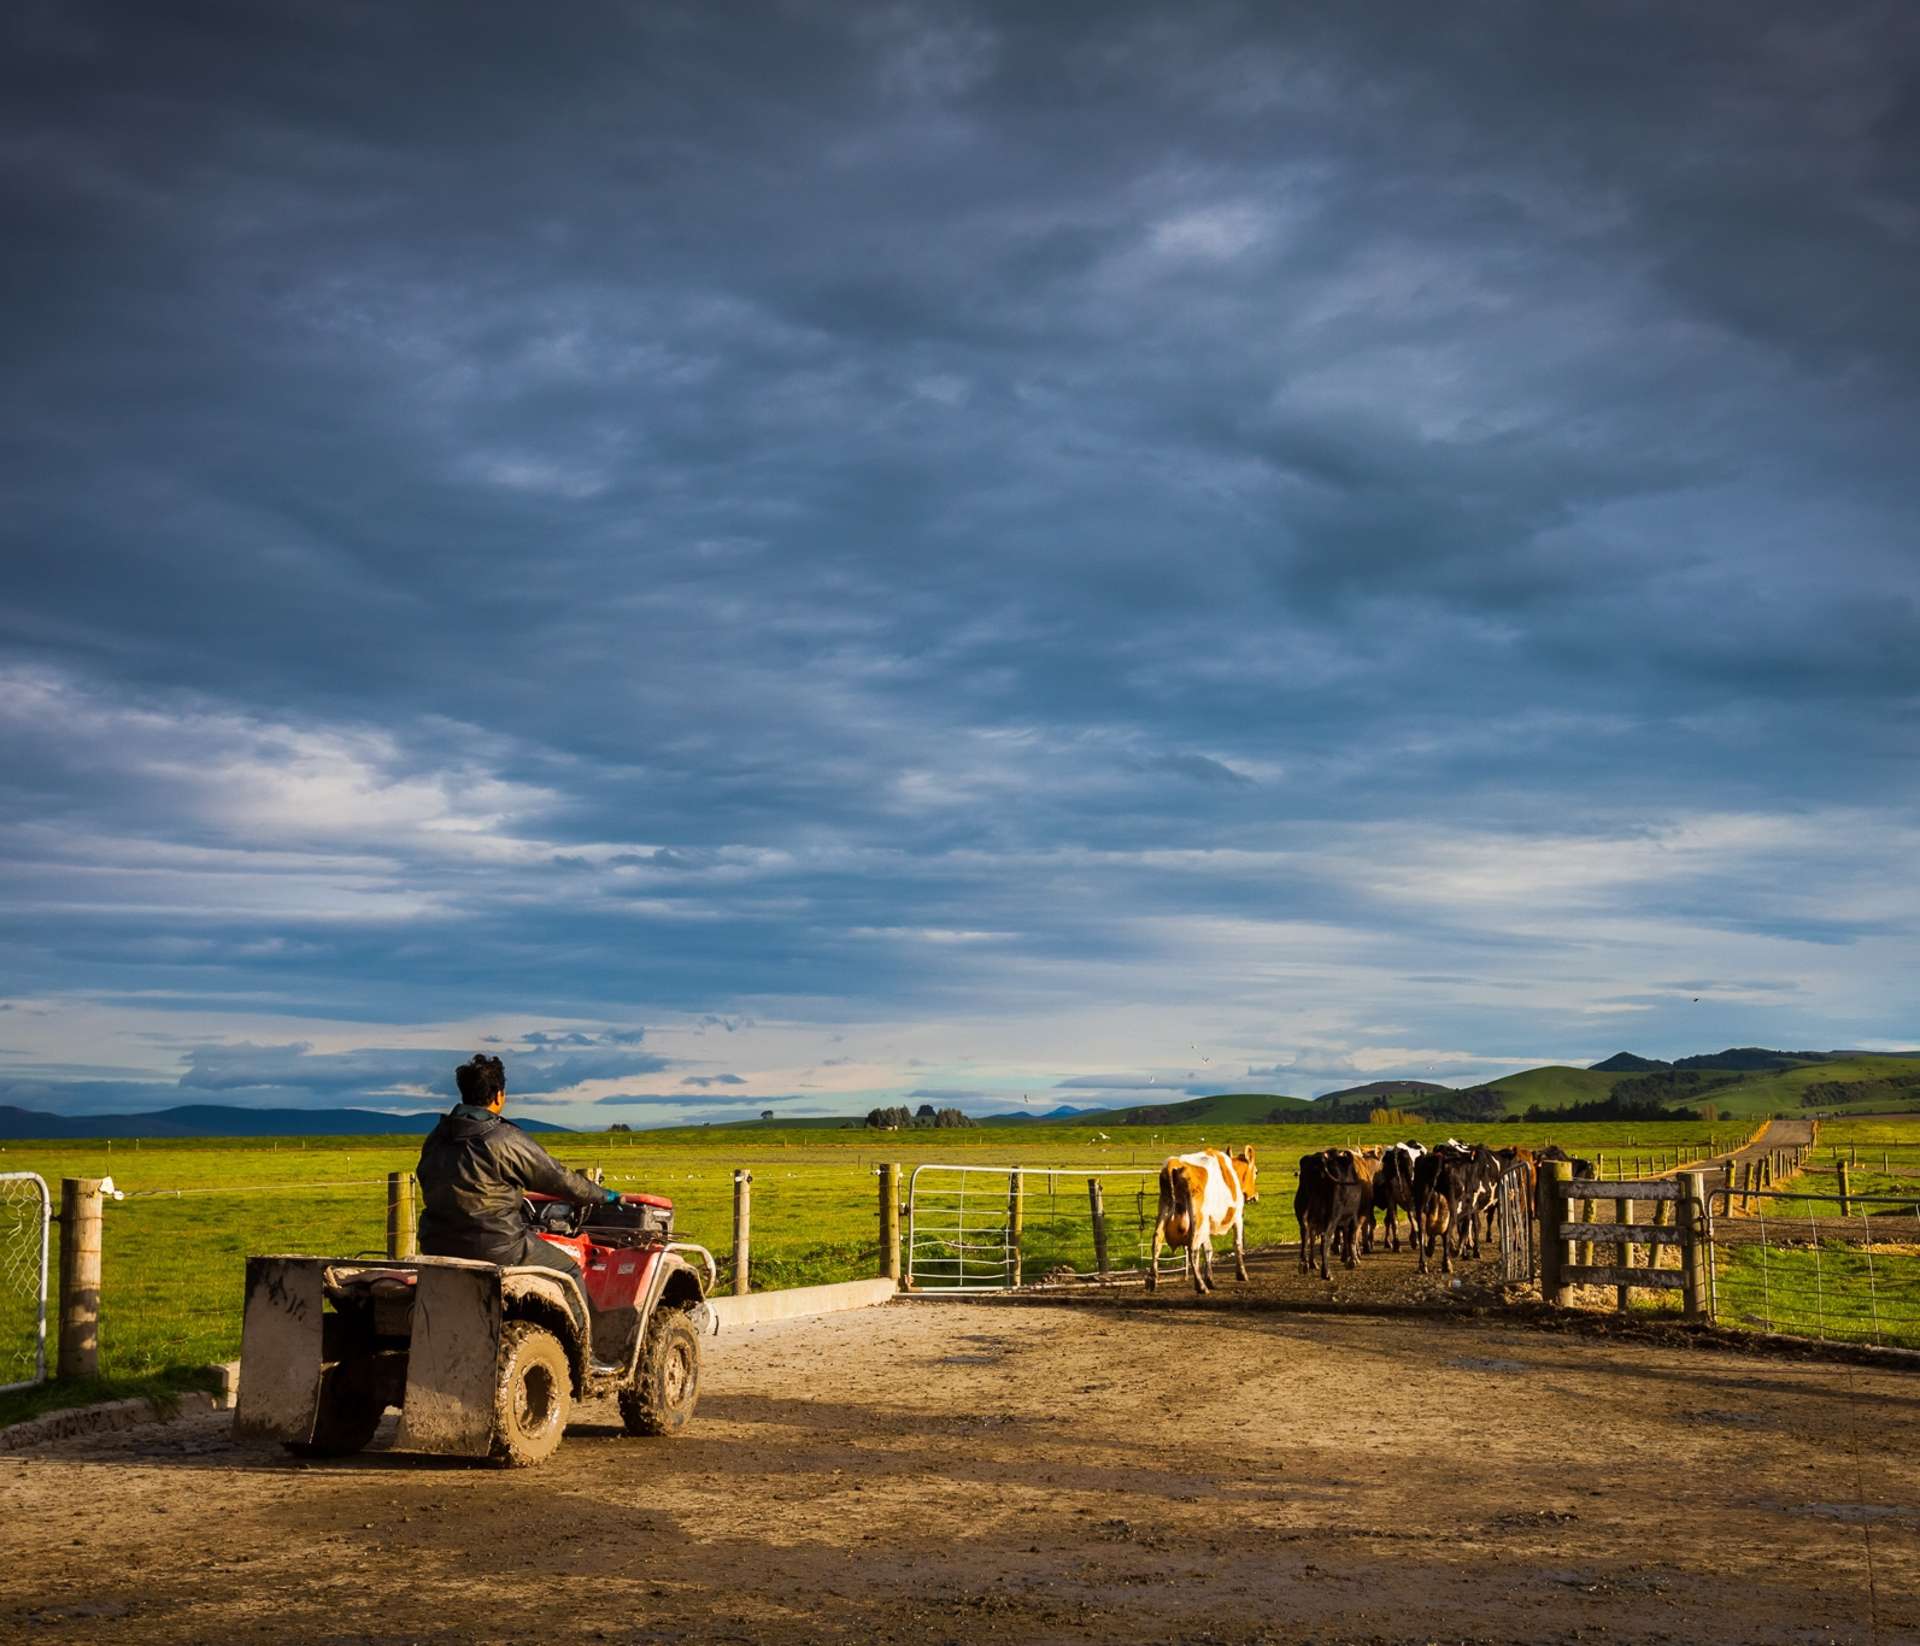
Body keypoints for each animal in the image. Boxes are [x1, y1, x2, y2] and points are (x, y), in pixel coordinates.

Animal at [1136, 1137, 1259, 1290]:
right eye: (1256, 1172)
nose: (1255, 1195)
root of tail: (1174, 1163)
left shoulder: (1207, 1222)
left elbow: (1208, 1249)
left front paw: (1210, 1279)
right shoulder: (1237, 1217)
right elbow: (1237, 1244)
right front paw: (1242, 1274)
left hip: (1165, 1207)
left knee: (1156, 1242)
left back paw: (1153, 1280)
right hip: (1197, 1217)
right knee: (1193, 1247)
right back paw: (1200, 1285)